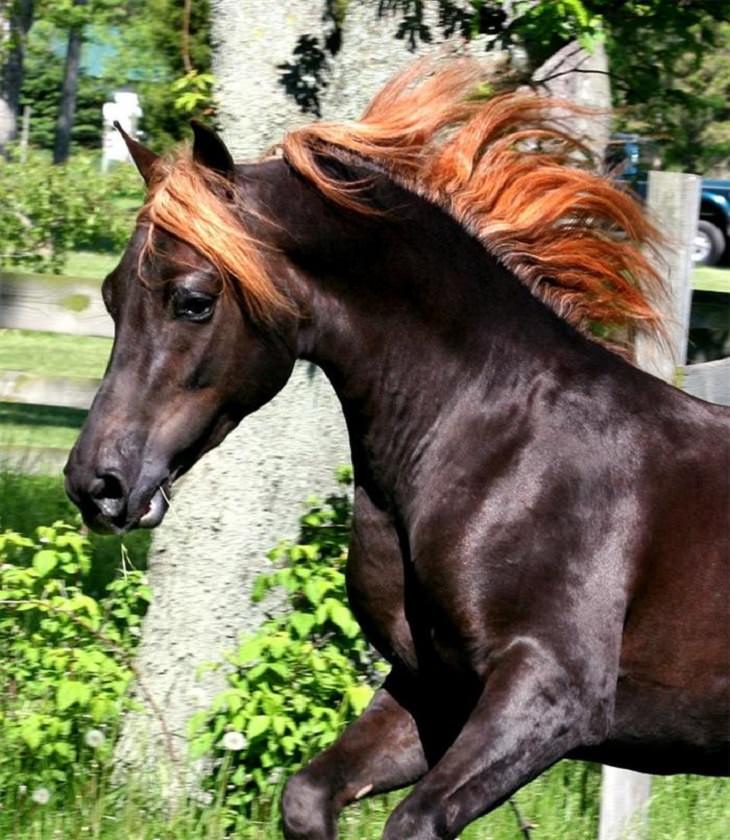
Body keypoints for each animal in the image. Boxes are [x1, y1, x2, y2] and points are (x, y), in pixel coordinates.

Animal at [65, 62, 724, 836]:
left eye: (194, 299)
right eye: (111, 296)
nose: (97, 483)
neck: (501, 447)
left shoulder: (550, 690)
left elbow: (412, 820)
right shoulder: (432, 688)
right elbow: (307, 795)